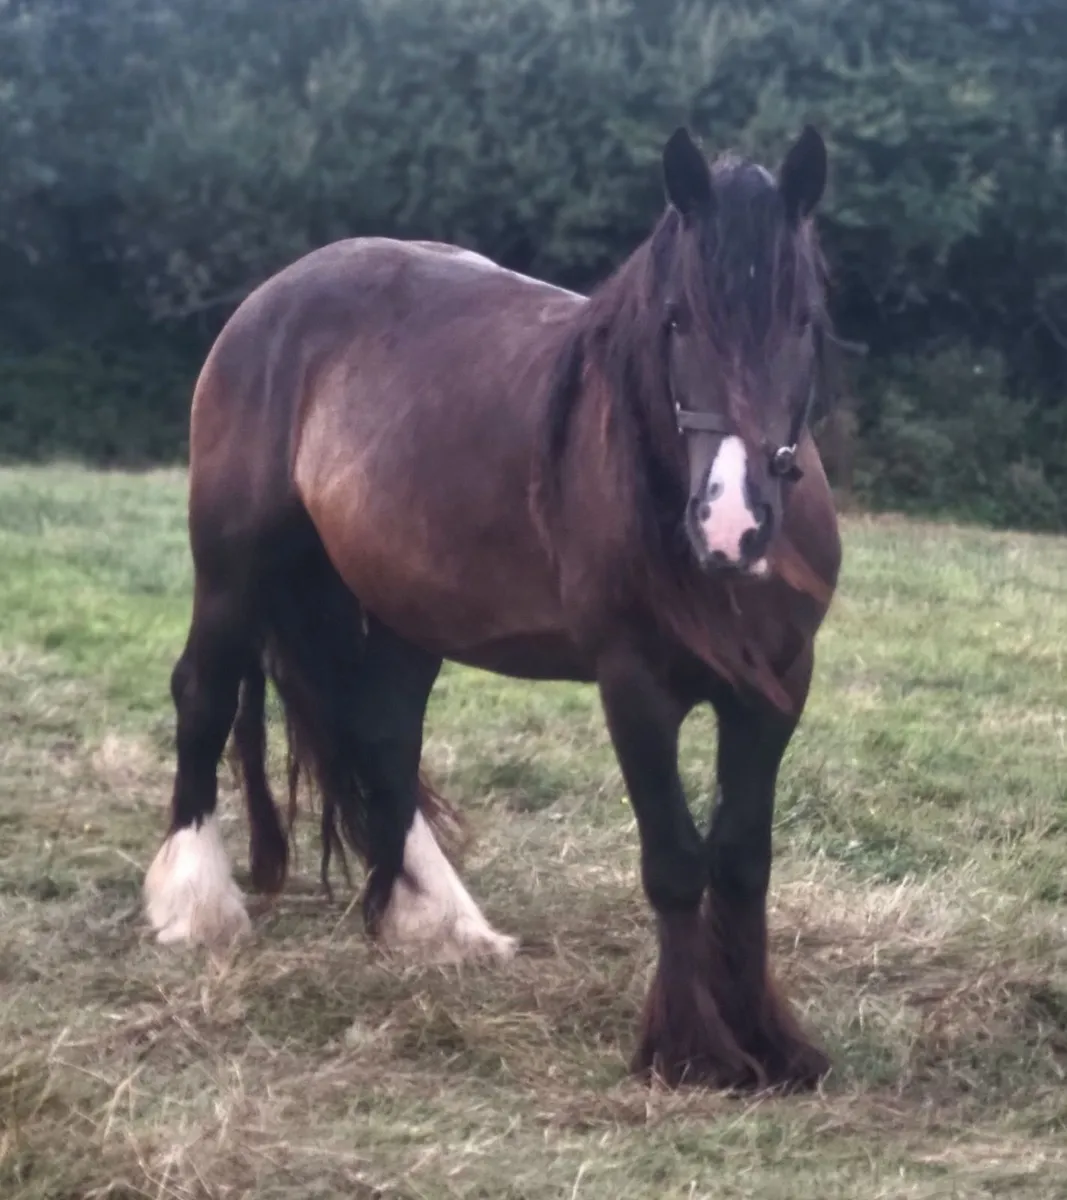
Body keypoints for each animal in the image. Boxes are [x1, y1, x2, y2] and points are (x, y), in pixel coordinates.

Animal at [143, 124, 842, 1092]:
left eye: (803, 320)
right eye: (675, 320)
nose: (729, 525)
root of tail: (273, 297)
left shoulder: (775, 692)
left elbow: (741, 863)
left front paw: (768, 1045)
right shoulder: (633, 688)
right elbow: (673, 861)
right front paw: (690, 1050)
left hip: (400, 614)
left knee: (383, 736)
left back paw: (432, 921)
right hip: (233, 572)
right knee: (204, 697)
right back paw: (194, 905)